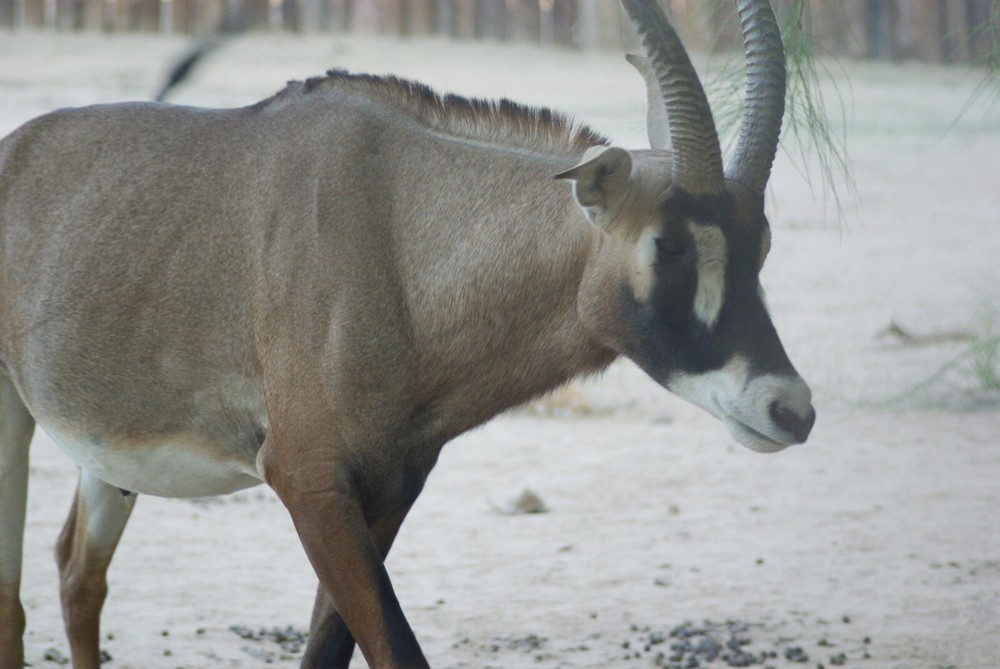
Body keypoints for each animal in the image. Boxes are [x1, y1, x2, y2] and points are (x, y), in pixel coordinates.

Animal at [0, 0, 814, 667]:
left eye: (763, 242)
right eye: (668, 244)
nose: (791, 409)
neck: (397, 233)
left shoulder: (389, 490)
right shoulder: (309, 483)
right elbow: (396, 651)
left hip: (110, 453)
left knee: (78, 573)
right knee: (16, 604)